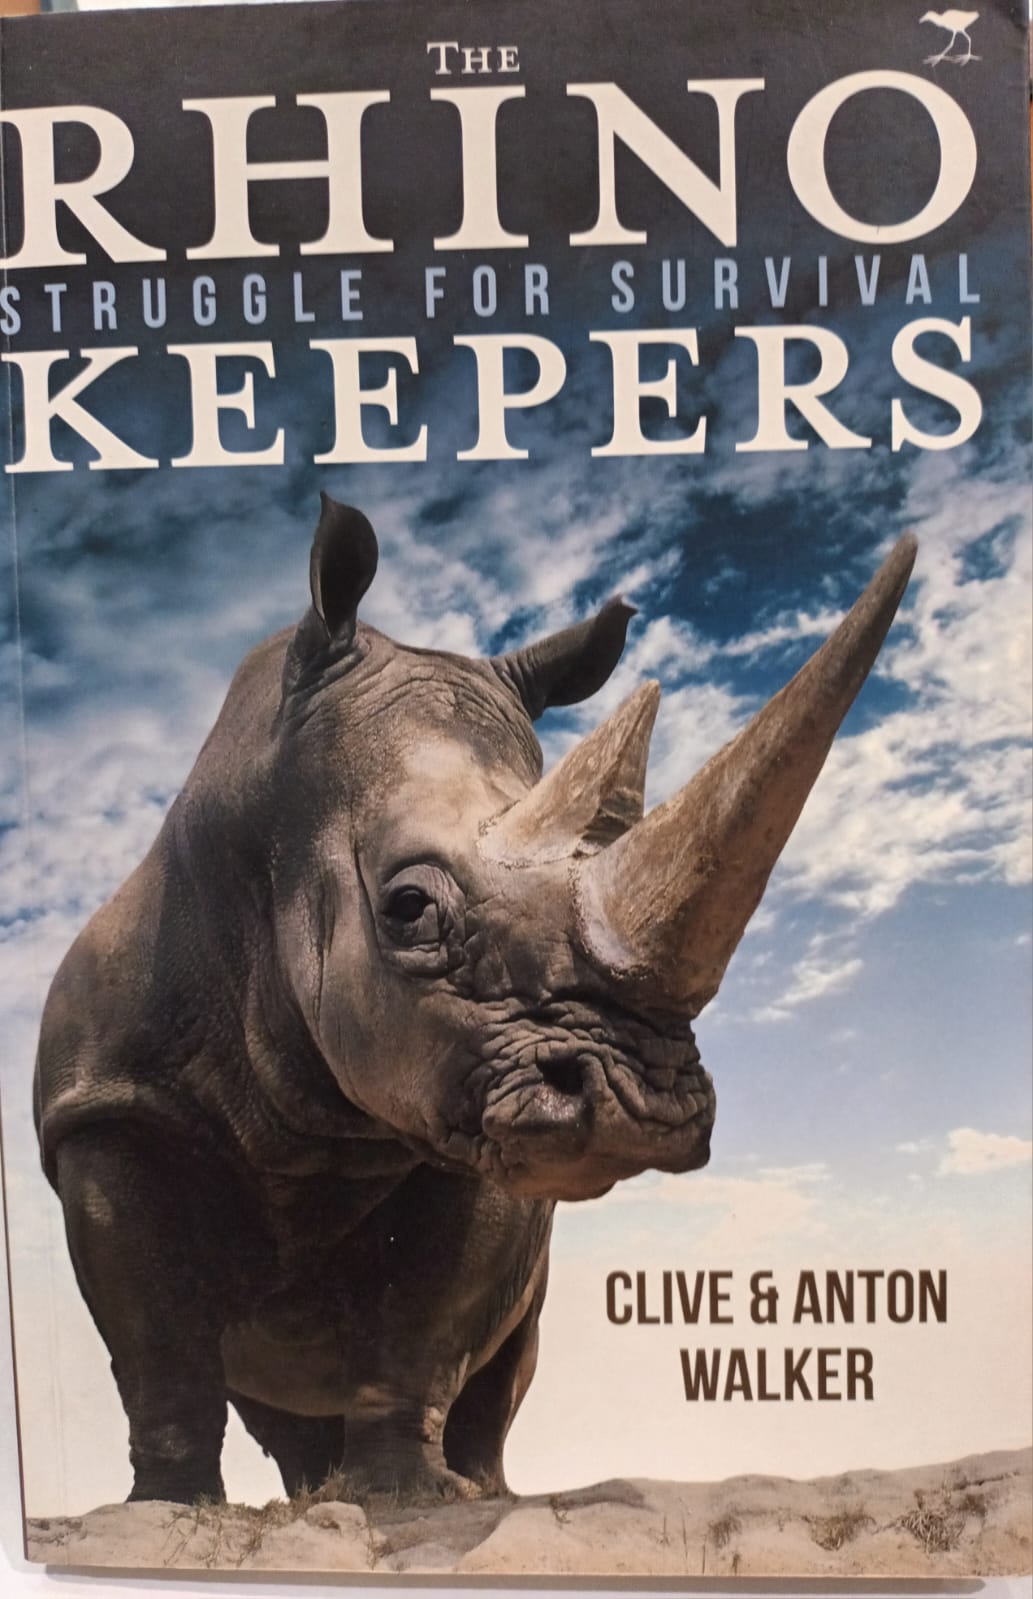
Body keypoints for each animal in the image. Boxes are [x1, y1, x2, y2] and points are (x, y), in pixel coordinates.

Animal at [34, 496, 915, 1505]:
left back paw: (479, 1489)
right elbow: (156, 1342)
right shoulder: (108, 1106)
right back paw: (313, 1493)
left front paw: (404, 1498)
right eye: (409, 907)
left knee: (501, 1360)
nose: (637, 1105)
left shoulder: (470, 1101)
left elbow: (424, 1321)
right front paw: (170, 1505)